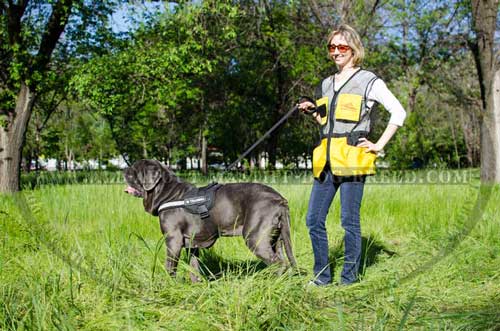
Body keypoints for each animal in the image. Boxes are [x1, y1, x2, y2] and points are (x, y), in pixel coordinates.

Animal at [124, 160, 294, 282]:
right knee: (282, 259)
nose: (124, 170)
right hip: (276, 238)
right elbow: (194, 268)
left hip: (255, 237)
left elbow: (170, 267)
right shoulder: (192, 245)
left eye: (133, 170)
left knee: (279, 264)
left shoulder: (173, 240)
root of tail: (279, 199)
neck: (167, 193)